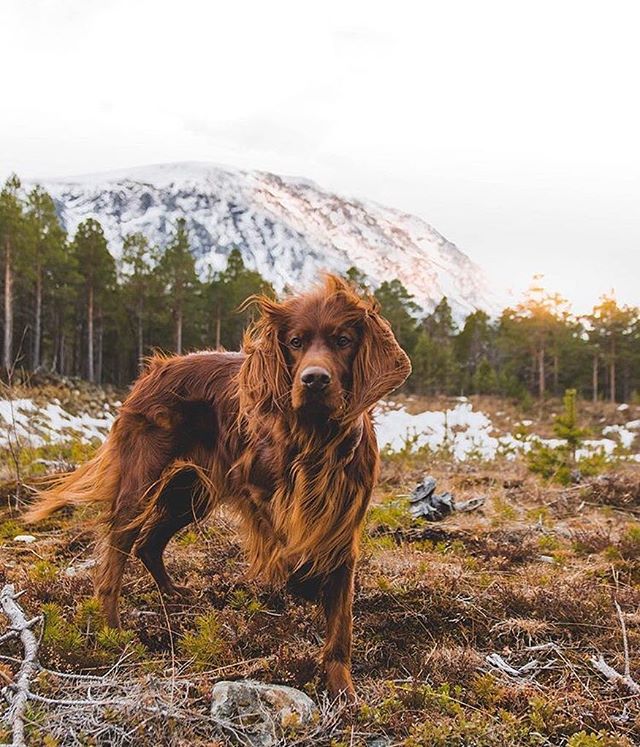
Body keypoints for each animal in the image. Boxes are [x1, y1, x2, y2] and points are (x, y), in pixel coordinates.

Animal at [26, 276, 410, 700]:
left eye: (343, 340)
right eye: (295, 342)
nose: (313, 379)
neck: (315, 440)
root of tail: (155, 369)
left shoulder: (343, 525)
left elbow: (341, 621)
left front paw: (342, 686)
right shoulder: (256, 490)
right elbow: (286, 546)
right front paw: (303, 582)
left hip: (190, 495)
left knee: (149, 544)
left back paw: (173, 594)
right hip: (141, 489)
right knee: (116, 557)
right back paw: (113, 630)